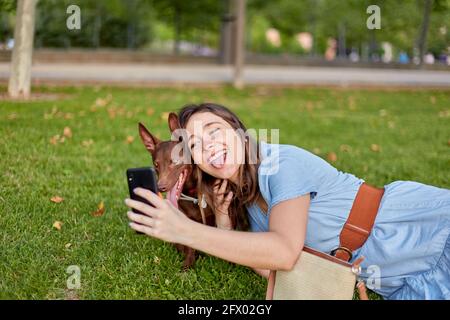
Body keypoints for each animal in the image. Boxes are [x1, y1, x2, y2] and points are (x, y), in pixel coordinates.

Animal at [137, 112, 214, 270]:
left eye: (175, 162)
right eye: (156, 165)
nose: (160, 187)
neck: (192, 193)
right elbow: (189, 246)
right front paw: (188, 264)